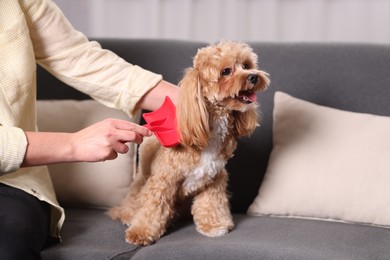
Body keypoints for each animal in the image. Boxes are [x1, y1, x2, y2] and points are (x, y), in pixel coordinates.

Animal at [108, 40, 270, 246]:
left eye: (247, 65)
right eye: (226, 71)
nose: (253, 76)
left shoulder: (215, 179)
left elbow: (211, 204)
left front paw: (214, 226)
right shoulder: (163, 180)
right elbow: (152, 207)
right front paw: (142, 232)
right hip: (142, 178)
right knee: (134, 199)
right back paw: (127, 215)